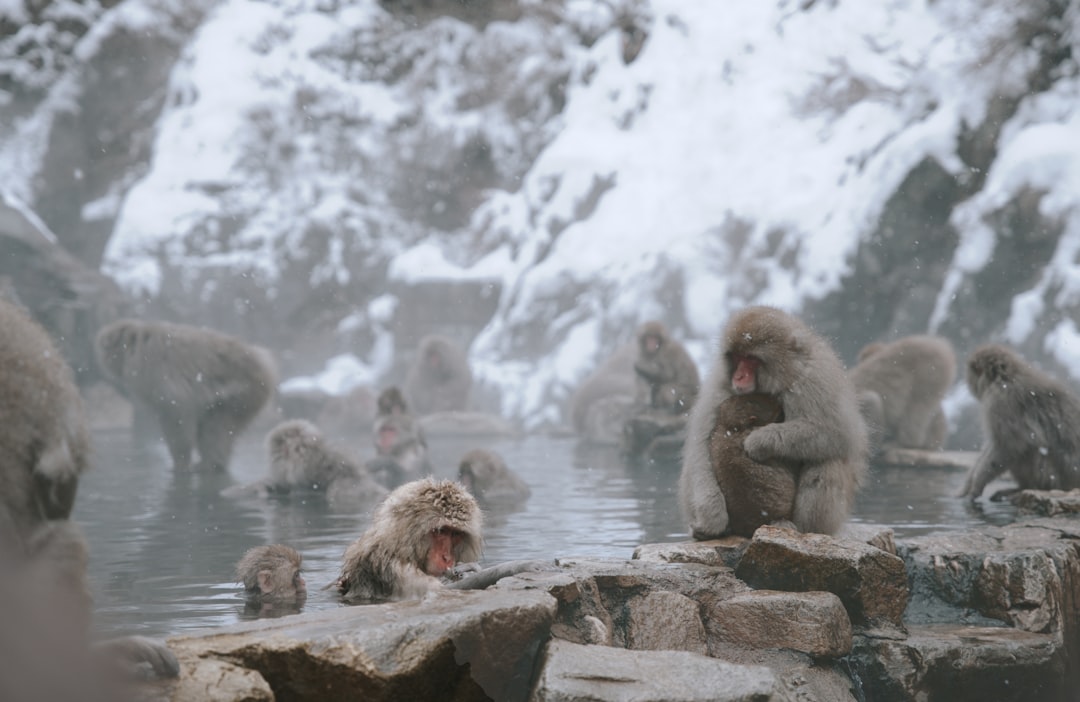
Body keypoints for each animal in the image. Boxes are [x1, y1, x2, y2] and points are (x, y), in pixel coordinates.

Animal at [94, 318, 277, 471]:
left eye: (107, 345)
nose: (102, 354)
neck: (136, 346)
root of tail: (264, 363)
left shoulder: (151, 368)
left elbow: (176, 408)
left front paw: (180, 462)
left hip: (243, 393)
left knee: (218, 425)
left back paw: (211, 463)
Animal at [959, 344, 1080, 501]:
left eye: (972, 371)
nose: (967, 381)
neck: (1006, 378)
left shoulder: (1002, 403)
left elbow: (1008, 446)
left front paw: (977, 485)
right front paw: (967, 484)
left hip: (1053, 477)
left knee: (1028, 448)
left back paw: (1026, 488)